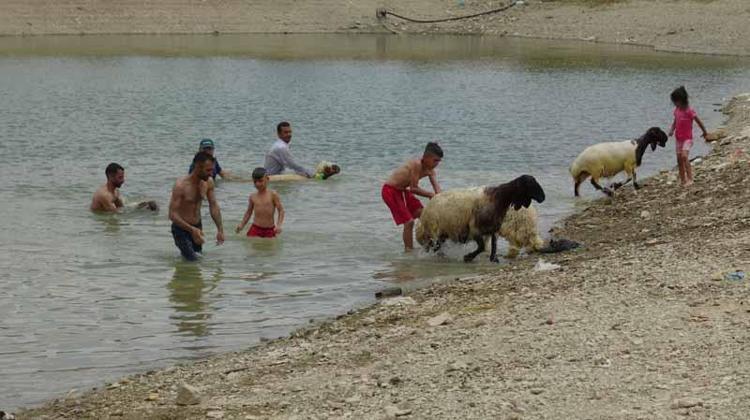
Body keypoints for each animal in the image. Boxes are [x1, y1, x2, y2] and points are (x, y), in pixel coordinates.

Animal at [415, 175, 546, 262]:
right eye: (531, 184)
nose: (543, 197)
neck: (499, 198)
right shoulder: (475, 229)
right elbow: (482, 247)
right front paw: (468, 257)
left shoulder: (494, 228)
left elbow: (493, 246)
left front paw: (493, 259)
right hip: (434, 231)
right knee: (435, 247)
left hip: (442, 232)